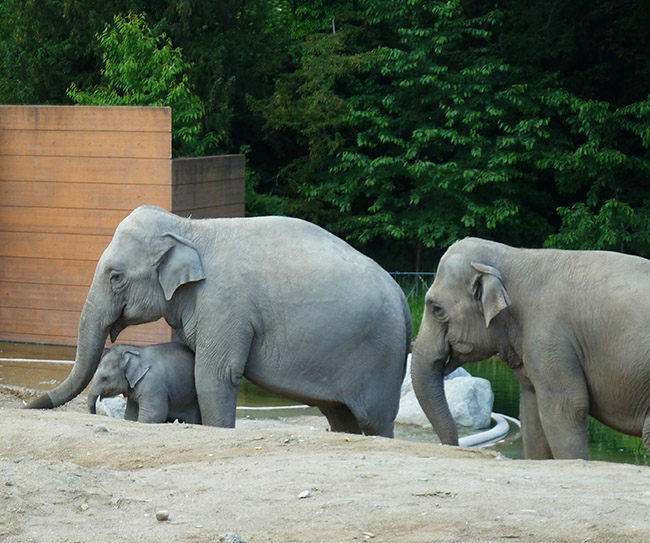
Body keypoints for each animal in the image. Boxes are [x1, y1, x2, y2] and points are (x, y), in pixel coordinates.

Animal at [27, 204, 410, 438]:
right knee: (341, 415)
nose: (29, 404)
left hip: (381, 357)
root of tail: (404, 298)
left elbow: (215, 374)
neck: (188, 228)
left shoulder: (224, 305)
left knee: (376, 420)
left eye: (116, 277)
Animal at [410, 238, 648, 460]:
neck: (516, 256)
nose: (454, 445)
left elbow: (567, 407)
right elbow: (530, 411)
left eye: (436, 309)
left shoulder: (550, 337)